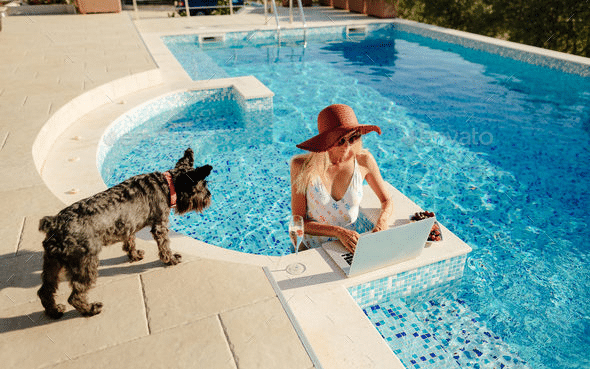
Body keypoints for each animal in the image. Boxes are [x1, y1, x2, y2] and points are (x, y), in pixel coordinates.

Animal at [38, 148, 213, 318]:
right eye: (203, 185)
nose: (209, 196)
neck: (167, 185)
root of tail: (55, 224)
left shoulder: (128, 226)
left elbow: (130, 242)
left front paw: (134, 256)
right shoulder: (160, 225)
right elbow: (164, 246)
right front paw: (171, 259)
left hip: (52, 263)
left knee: (45, 291)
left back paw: (54, 311)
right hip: (86, 262)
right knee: (75, 296)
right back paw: (91, 309)